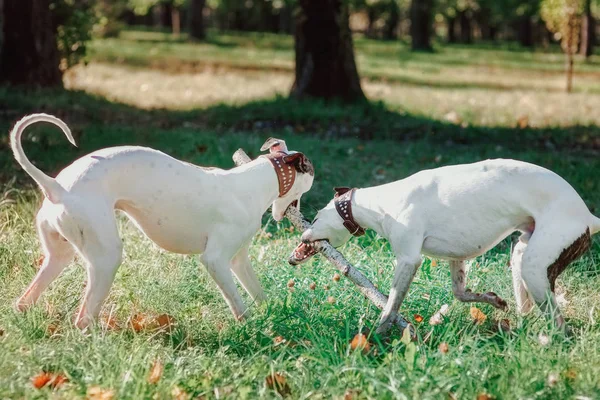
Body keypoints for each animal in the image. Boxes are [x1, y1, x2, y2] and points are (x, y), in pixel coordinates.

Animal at [11, 114, 316, 330]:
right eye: (310, 179)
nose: (307, 217)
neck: (253, 182)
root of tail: (56, 187)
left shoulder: (238, 260)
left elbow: (258, 293)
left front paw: (277, 317)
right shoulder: (215, 261)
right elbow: (238, 304)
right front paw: (254, 329)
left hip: (58, 255)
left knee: (26, 300)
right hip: (105, 258)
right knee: (84, 318)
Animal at [292, 159, 600, 334]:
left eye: (316, 217)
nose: (302, 232)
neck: (381, 203)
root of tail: (588, 216)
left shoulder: (409, 260)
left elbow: (390, 306)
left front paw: (376, 336)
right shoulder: (458, 257)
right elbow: (461, 293)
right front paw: (492, 300)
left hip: (536, 269)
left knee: (560, 325)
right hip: (521, 256)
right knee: (527, 304)